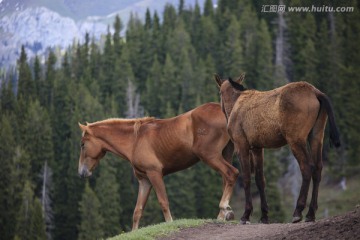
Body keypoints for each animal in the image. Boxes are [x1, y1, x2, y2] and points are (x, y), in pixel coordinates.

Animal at [77, 102, 239, 230]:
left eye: (83, 144)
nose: (81, 172)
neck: (135, 140)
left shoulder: (154, 174)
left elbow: (163, 202)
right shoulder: (144, 181)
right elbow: (137, 211)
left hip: (209, 156)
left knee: (231, 173)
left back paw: (223, 209)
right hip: (224, 154)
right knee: (226, 179)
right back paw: (223, 214)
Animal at [214, 74, 340, 224]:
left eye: (219, 92)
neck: (233, 105)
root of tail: (316, 92)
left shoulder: (241, 146)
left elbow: (246, 178)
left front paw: (246, 214)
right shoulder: (257, 148)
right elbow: (260, 180)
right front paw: (264, 215)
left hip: (296, 139)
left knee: (306, 168)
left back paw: (298, 211)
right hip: (316, 135)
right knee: (318, 168)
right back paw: (310, 213)